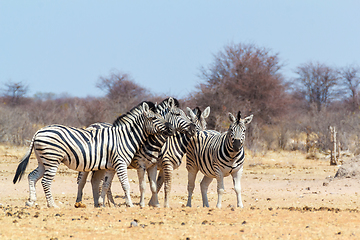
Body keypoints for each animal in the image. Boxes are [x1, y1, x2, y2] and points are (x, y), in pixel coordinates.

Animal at [11, 100, 174, 207]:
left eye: (161, 117)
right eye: (153, 118)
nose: (171, 128)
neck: (125, 137)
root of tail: (38, 131)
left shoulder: (111, 166)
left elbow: (106, 185)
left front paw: (102, 204)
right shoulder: (120, 163)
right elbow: (125, 185)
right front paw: (130, 204)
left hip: (42, 160)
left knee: (32, 176)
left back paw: (31, 201)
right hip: (52, 160)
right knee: (45, 181)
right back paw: (52, 205)